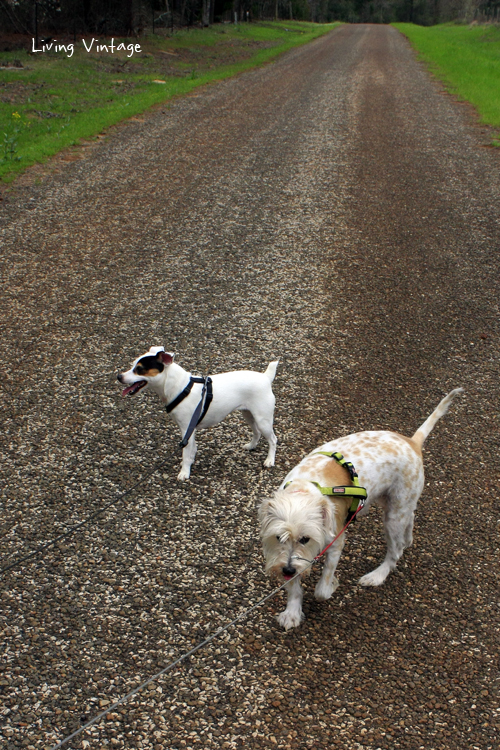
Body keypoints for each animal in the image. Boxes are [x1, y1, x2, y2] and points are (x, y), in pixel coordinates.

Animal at [118, 346, 280, 482]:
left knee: (273, 439)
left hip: (263, 420)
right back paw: (251, 446)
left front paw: (184, 472)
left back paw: (270, 460)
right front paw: (189, 462)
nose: (119, 377)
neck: (181, 388)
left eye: (139, 369)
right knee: (257, 432)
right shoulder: (190, 429)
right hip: (249, 415)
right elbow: (191, 449)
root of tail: (266, 377)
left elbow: (186, 451)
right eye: (132, 366)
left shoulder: (186, 429)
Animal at [260, 390, 462, 632]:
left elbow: (321, 590)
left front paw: (331, 585)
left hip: (393, 517)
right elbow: (293, 587)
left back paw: (377, 576)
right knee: (411, 516)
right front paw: (292, 612)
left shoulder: (335, 542)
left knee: (394, 553)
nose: (287, 571)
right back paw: (408, 539)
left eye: (306, 539)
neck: (305, 488)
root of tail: (412, 441)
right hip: (395, 501)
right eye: (278, 537)